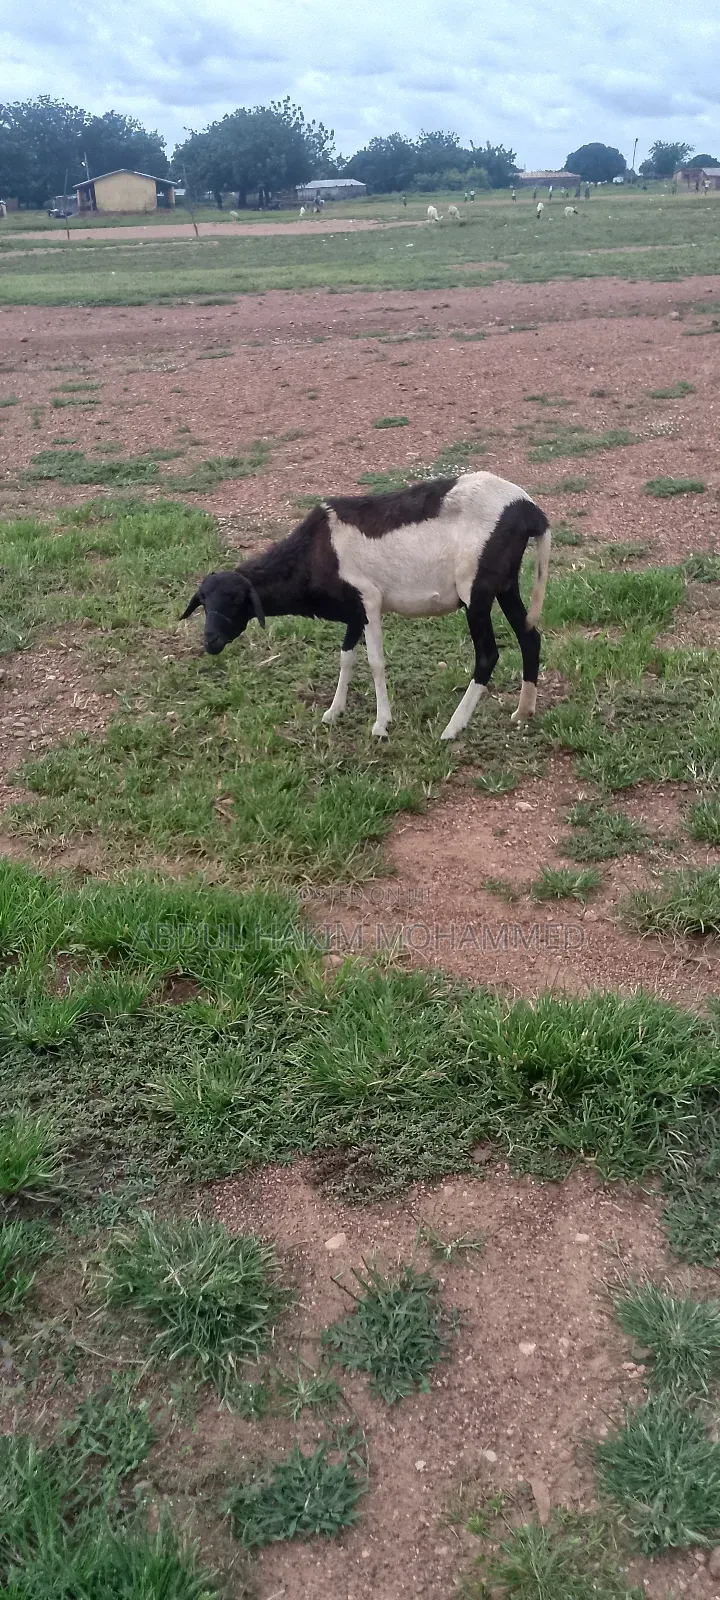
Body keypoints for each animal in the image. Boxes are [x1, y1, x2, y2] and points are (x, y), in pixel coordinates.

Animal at [181, 472, 551, 741]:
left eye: (235, 600)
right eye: (203, 603)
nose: (210, 641)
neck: (313, 552)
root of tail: (530, 511)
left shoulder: (369, 600)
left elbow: (375, 662)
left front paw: (381, 724)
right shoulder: (354, 609)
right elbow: (346, 656)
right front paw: (334, 711)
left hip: (477, 590)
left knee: (488, 655)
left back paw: (452, 728)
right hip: (505, 584)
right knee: (530, 637)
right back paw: (523, 712)